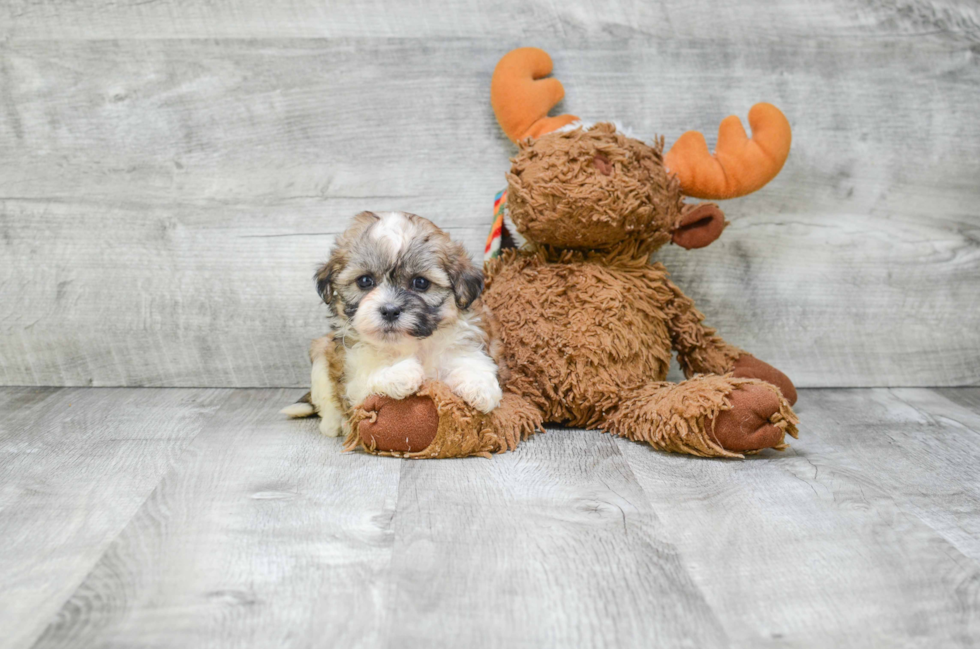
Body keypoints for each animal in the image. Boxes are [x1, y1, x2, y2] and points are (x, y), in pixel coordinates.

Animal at [280, 211, 502, 436]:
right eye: (365, 281)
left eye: (421, 282)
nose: (390, 310)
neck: (409, 344)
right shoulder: (351, 373)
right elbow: (367, 377)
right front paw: (401, 373)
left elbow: (471, 360)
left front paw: (480, 387)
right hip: (320, 354)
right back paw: (335, 424)